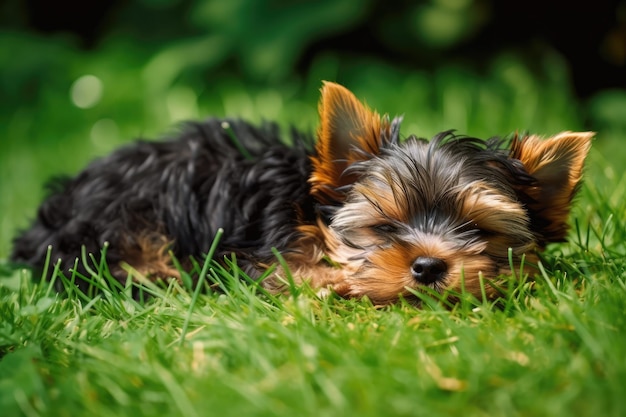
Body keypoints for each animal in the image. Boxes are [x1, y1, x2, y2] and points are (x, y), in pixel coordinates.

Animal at [11, 82, 588, 302]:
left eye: (477, 230)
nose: (428, 267)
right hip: (117, 227)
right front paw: (347, 282)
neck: (308, 211)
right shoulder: (266, 256)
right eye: (383, 228)